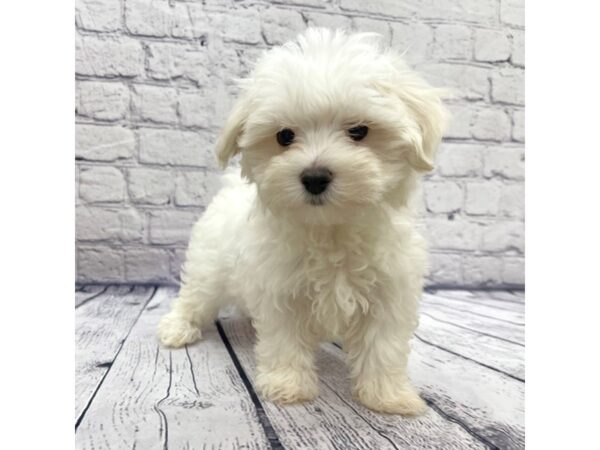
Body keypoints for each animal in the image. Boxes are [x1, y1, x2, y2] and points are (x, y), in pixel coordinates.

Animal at [157, 28, 448, 414]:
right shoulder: (280, 289)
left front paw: (388, 396)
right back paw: (177, 328)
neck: (331, 228)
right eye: (284, 136)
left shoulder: (390, 290)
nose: (314, 177)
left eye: (359, 131)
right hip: (209, 266)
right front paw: (288, 385)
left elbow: (383, 346)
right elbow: (284, 340)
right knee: (194, 296)